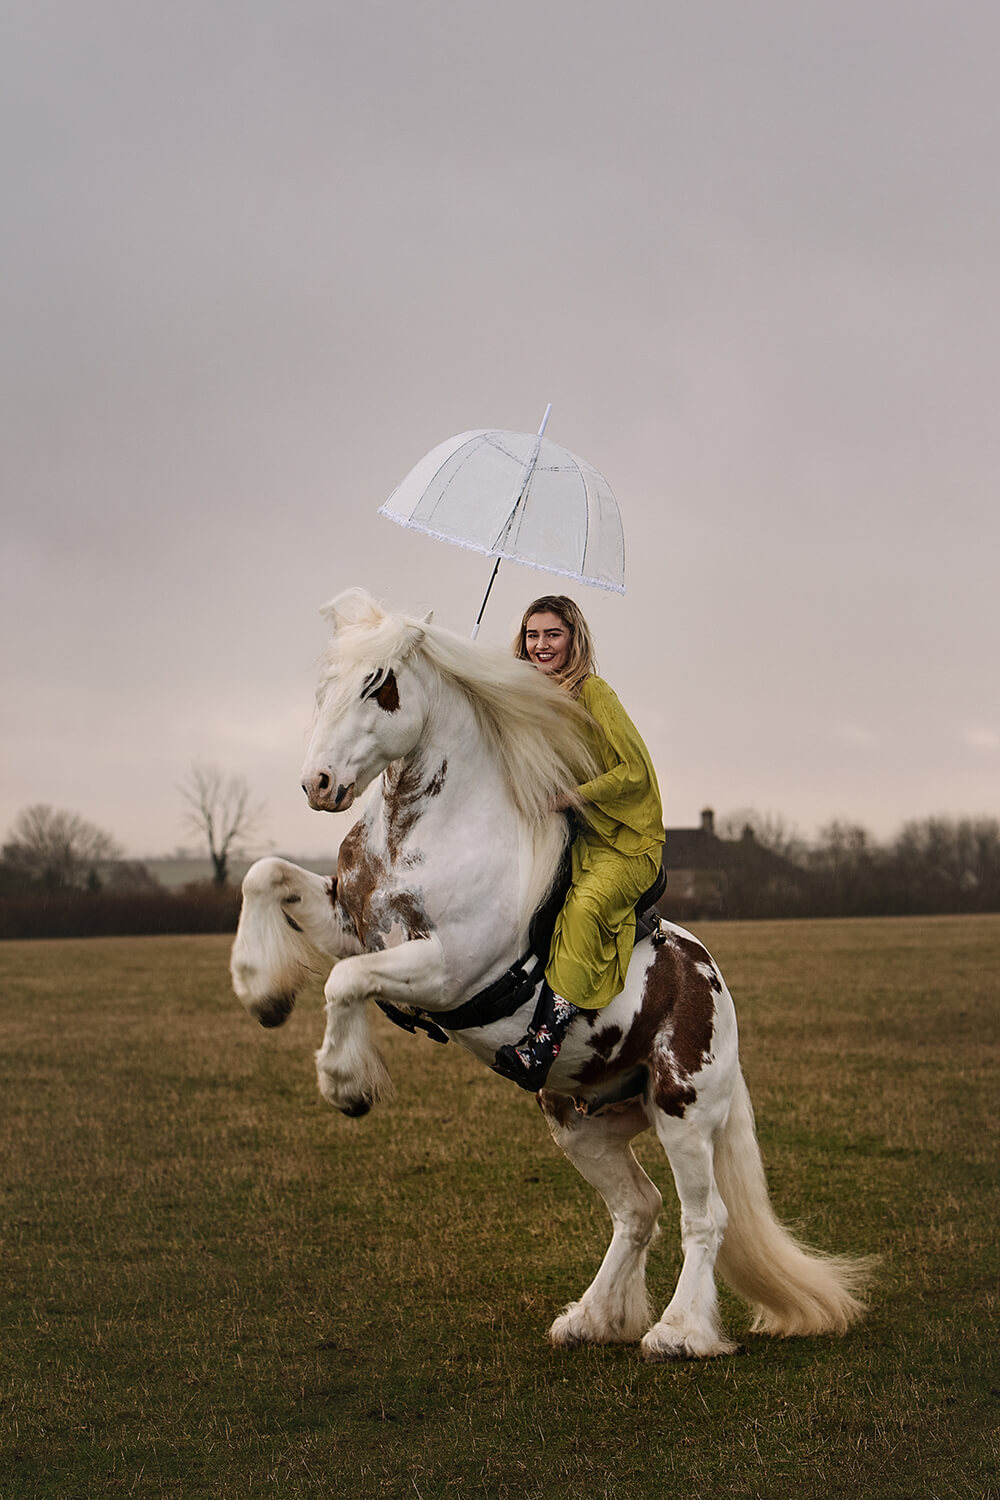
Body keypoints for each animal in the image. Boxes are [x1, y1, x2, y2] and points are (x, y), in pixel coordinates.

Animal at [232, 591, 869, 1368]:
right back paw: (592, 1318)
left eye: (377, 685)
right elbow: (264, 875)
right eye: (323, 685)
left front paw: (346, 1085)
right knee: (638, 1210)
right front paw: (261, 991)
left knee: (705, 1218)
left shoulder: (445, 968)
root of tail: (711, 985)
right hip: (580, 1120)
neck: (427, 834)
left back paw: (679, 1333)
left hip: (683, 1109)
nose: (318, 784)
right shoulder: (348, 921)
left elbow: (345, 982)